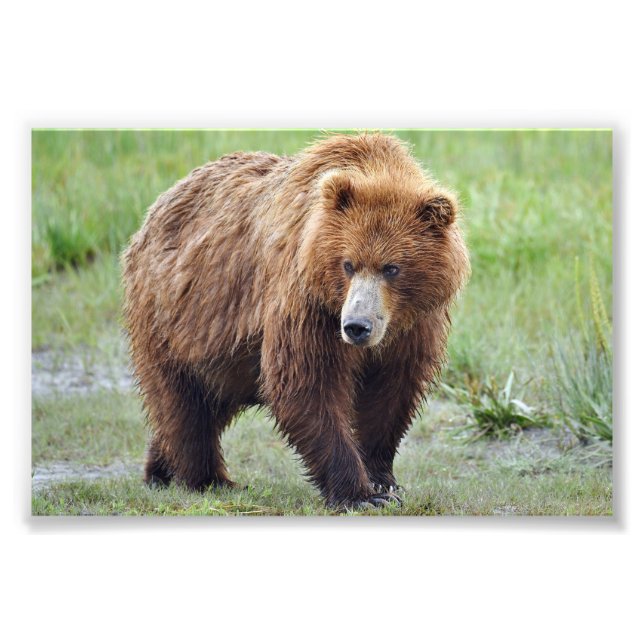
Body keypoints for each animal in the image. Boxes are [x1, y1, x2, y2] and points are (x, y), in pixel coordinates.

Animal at [122, 132, 469, 509]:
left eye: (392, 268)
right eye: (348, 264)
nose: (356, 327)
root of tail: (154, 210)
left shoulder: (413, 323)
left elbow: (392, 393)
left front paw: (383, 481)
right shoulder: (307, 302)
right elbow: (306, 383)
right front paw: (359, 494)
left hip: (225, 353)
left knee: (206, 401)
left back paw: (159, 468)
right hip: (174, 317)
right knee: (183, 404)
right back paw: (208, 479)